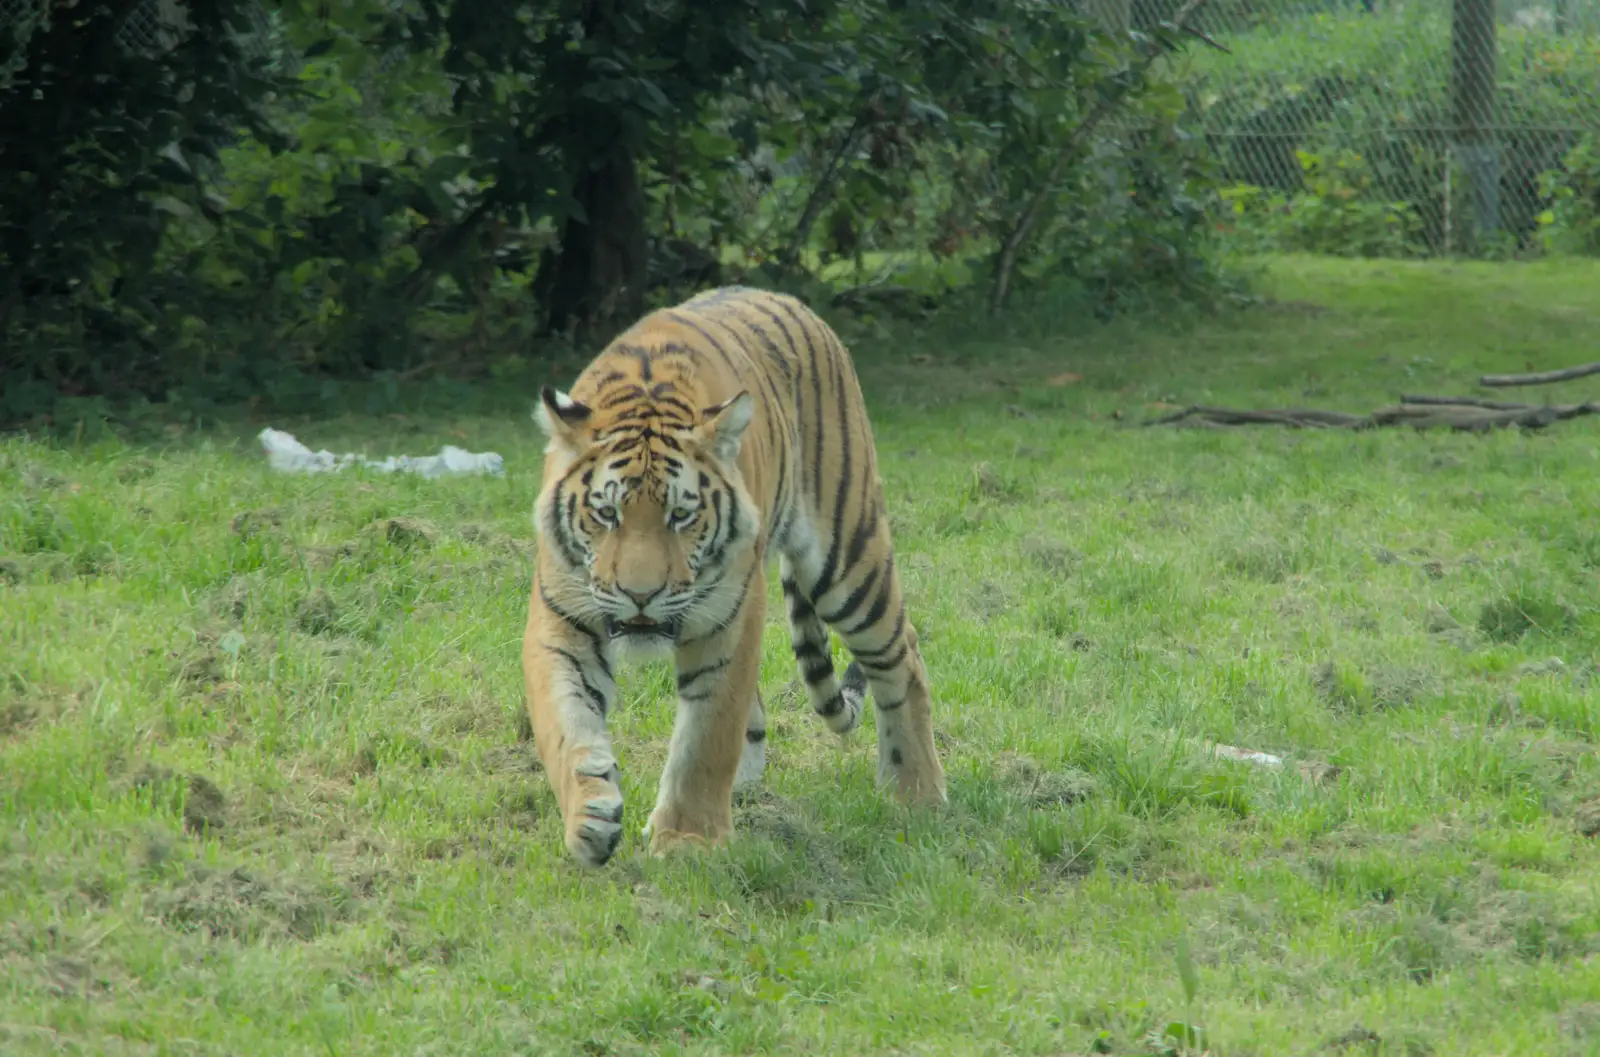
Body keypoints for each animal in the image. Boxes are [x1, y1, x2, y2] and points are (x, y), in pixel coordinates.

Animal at [524, 283, 947, 863]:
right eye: (606, 513)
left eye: (681, 515)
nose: (640, 596)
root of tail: (790, 301)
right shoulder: (561, 618)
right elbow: (563, 722)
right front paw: (590, 816)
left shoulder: (729, 619)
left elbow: (707, 735)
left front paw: (687, 841)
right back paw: (746, 790)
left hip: (849, 560)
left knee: (903, 656)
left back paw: (916, 792)